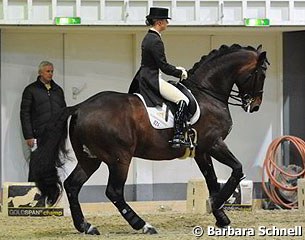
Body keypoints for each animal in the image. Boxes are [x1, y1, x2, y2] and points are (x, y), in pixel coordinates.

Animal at [32, 43, 268, 234]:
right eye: (262, 74)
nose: (256, 105)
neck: (208, 93)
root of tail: (80, 107)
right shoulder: (215, 143)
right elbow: (237, 170)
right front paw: (215, 204)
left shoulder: (201, 150)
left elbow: (212, 180)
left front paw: (221, 218)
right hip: (119, 158)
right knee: (114, 192)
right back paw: (143, 225)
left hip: (90, 158)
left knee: (72, 186)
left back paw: (86, 226)